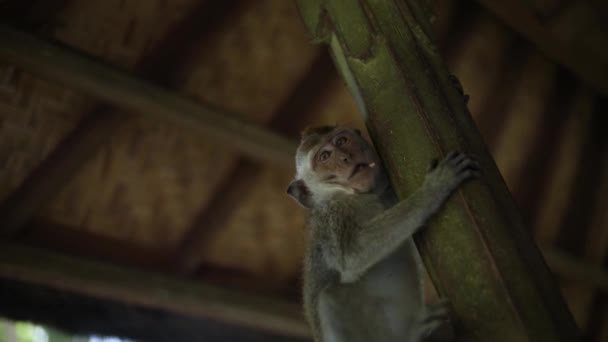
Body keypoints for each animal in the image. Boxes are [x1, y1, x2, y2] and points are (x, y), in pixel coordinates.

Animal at [286, 126, 480, 342]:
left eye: (342, 141)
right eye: (324, 157)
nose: (345, 157)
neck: (363, 196)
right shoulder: (333, 217)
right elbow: (351, 254)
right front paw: (433, 189)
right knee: (329, 297)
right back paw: (419, 334)